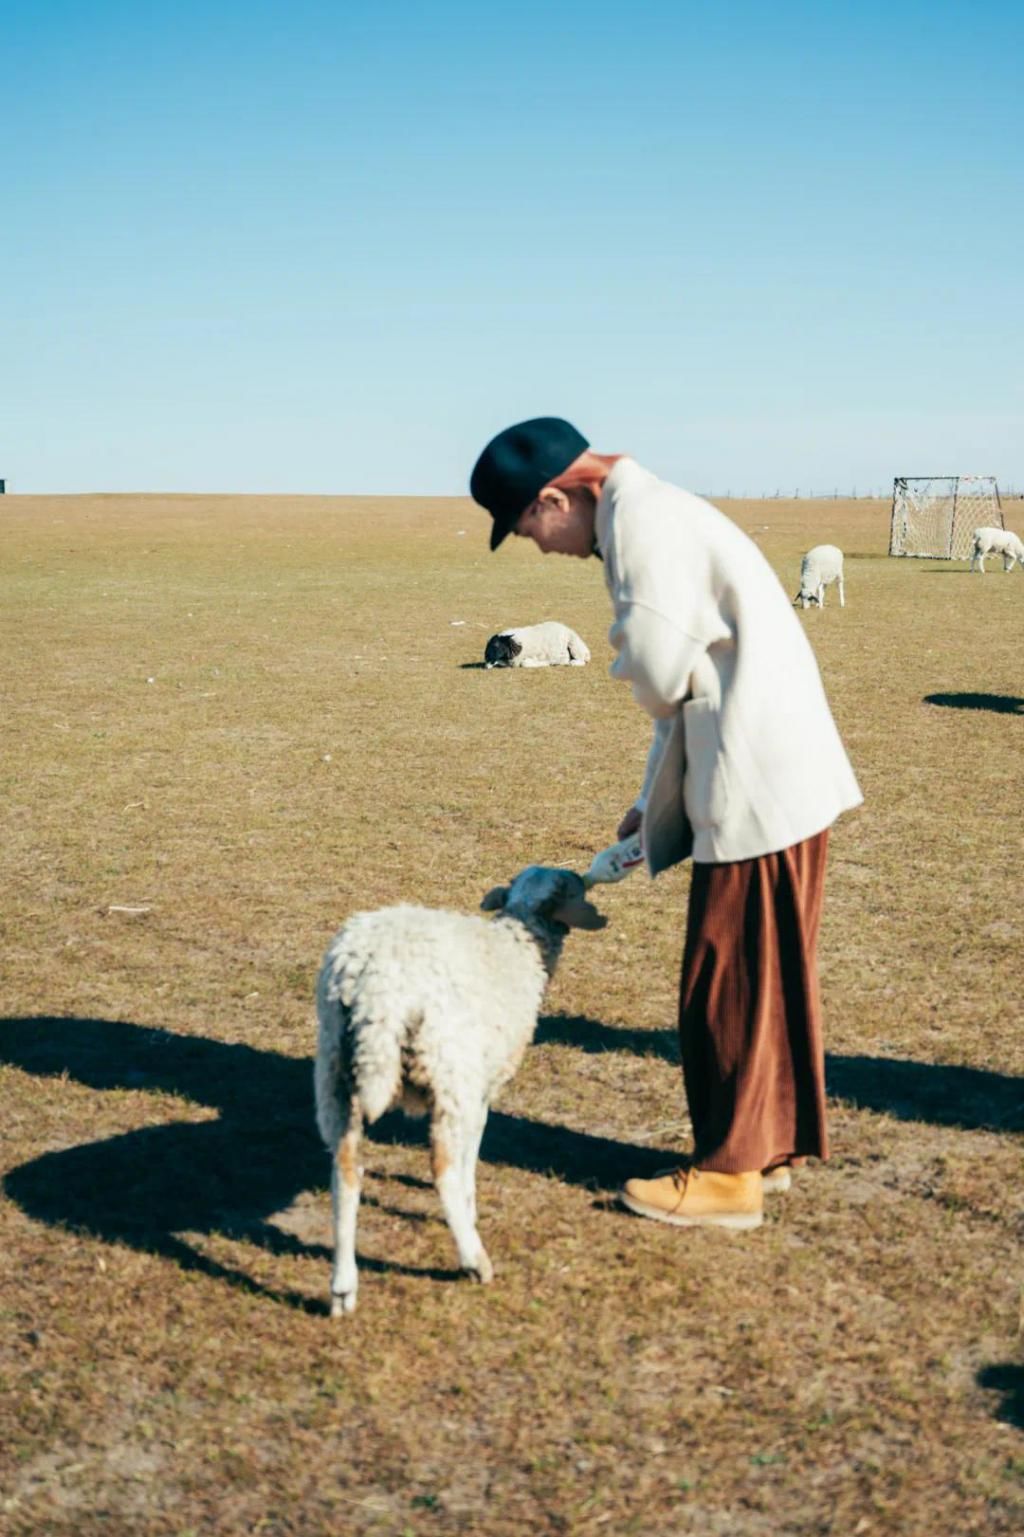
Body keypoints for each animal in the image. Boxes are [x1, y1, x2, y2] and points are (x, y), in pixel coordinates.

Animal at [310, 866, 605, 1321]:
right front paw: (471, 1205)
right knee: (443, 1169)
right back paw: (474, 1259)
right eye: (576, 889)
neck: (520, 940)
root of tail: (375, 989)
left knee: (345, 1173)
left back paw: (343, 1288)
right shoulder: (480, 1086)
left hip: (335, 1075)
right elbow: (471, 1152)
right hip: (449, 1072)